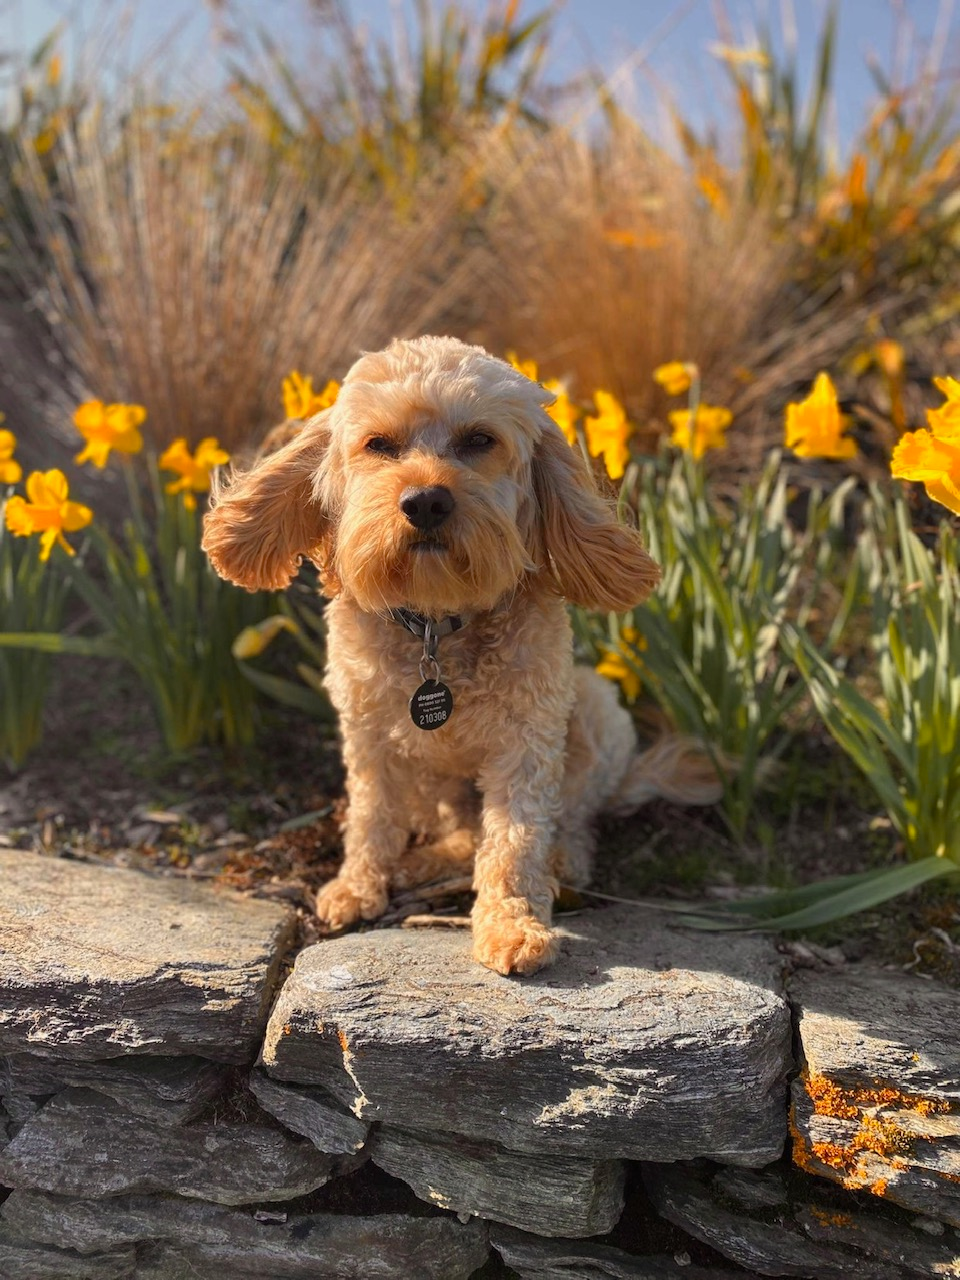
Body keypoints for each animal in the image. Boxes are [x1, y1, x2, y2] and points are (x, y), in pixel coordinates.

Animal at [207, 335, 727, 972]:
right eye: (378, 444)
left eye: (479, 440)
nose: (426, 502)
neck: (437, 626)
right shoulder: (368, 736)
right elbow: (371, 816)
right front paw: (358, 885)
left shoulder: (527, 744)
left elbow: (515, 841)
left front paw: (513, 924)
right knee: (461, 831)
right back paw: (422, 861)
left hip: (595, 709)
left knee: (571, 821)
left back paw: (561, 863)